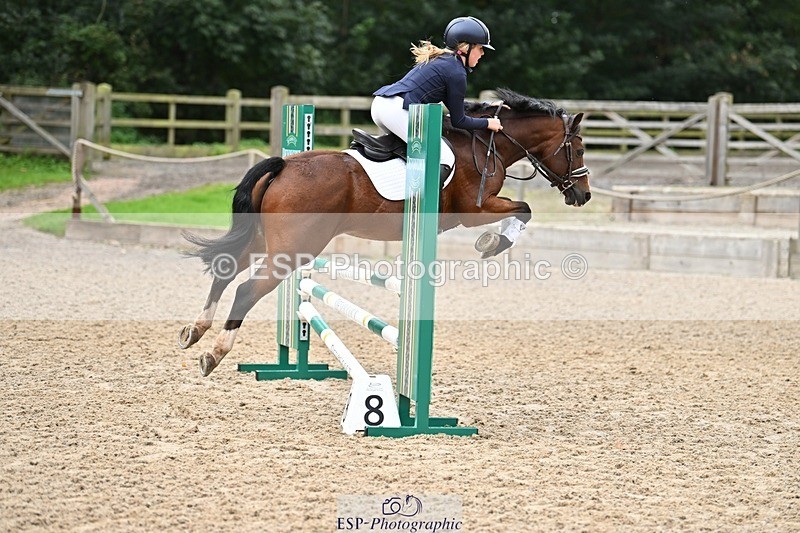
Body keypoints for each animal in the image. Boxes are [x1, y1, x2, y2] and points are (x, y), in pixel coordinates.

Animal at [179, 88, 591, 376]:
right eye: (580, 149)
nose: (583, 195)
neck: (484, 144)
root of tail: (284, 165)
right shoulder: (474, 210)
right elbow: (525, 209)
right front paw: (493, 243)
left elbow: (524, 209)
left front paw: (493, 241)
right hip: (294, 249)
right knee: (247, 289)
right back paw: (214, 353)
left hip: (264, 240)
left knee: (225, 270)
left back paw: (194, 331)